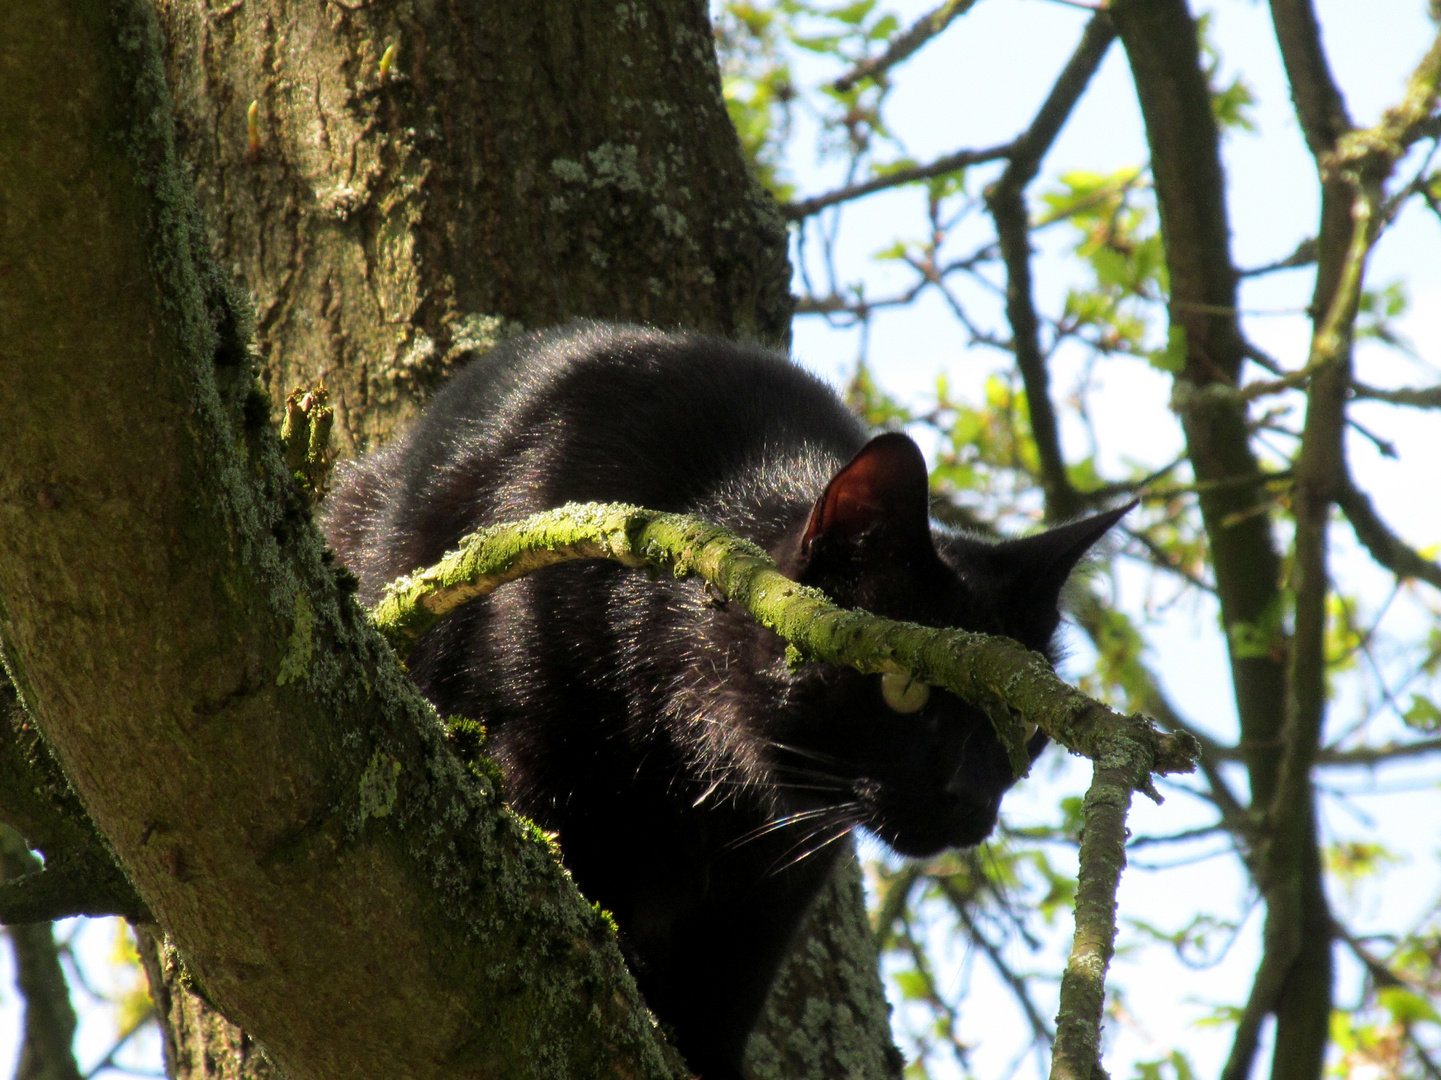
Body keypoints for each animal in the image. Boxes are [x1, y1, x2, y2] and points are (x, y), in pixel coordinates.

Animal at [324, 322, 1123, 1078]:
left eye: (1019, 720)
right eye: (902, 688)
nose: (973, 797)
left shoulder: (782, 864)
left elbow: (731, 976)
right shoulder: (530, 751)